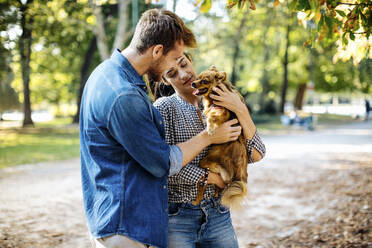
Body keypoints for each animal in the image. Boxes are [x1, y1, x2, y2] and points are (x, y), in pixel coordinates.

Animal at [192, 66, 247, 209]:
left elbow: (211, 115)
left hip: (206, 162)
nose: (193, 83)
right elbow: (209, 113)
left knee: (205, 182)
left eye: (204, 81)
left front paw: (210, 128)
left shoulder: (223, 113)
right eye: (197, 78)